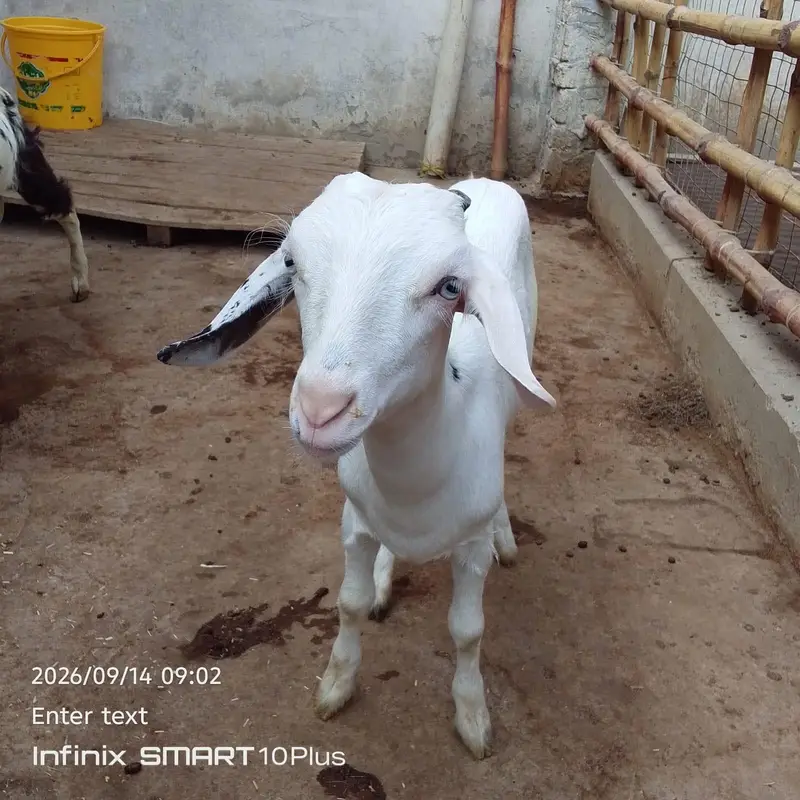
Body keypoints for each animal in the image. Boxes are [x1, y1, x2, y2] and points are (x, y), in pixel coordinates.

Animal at [156, 172, 557, 759]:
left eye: (449, 288)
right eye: (292, 262)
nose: (320, 410)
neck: (413, 488)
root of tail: (487, 178)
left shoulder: (469, 550)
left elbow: (467, 630)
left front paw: (473, 718)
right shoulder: (356, 523)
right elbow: (349, 602)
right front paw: (337, 684)